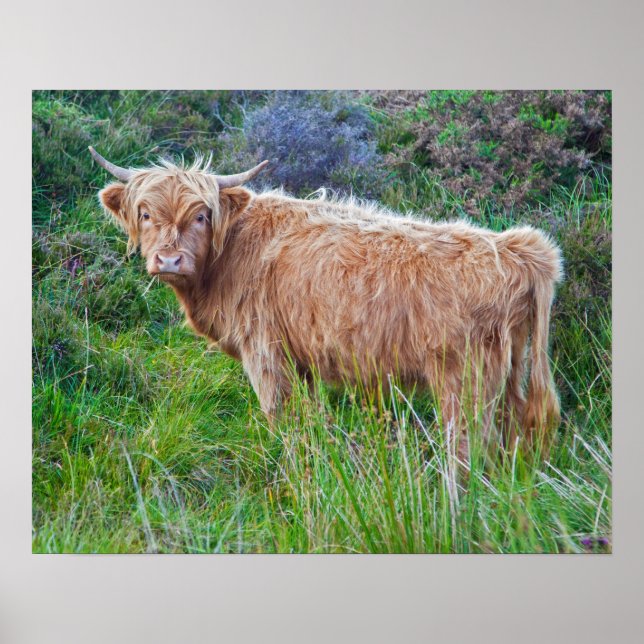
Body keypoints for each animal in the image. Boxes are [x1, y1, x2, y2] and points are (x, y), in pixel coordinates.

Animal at [90, 146, 563, 461]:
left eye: (202, 215)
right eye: (145, 214)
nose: (169, 260)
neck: (229, 255)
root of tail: (519, 248)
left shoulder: (264, 352)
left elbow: (278, 415)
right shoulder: (303, 360)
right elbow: (312, 417)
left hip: (465, 380)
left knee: (469, 448)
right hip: (512, 372)